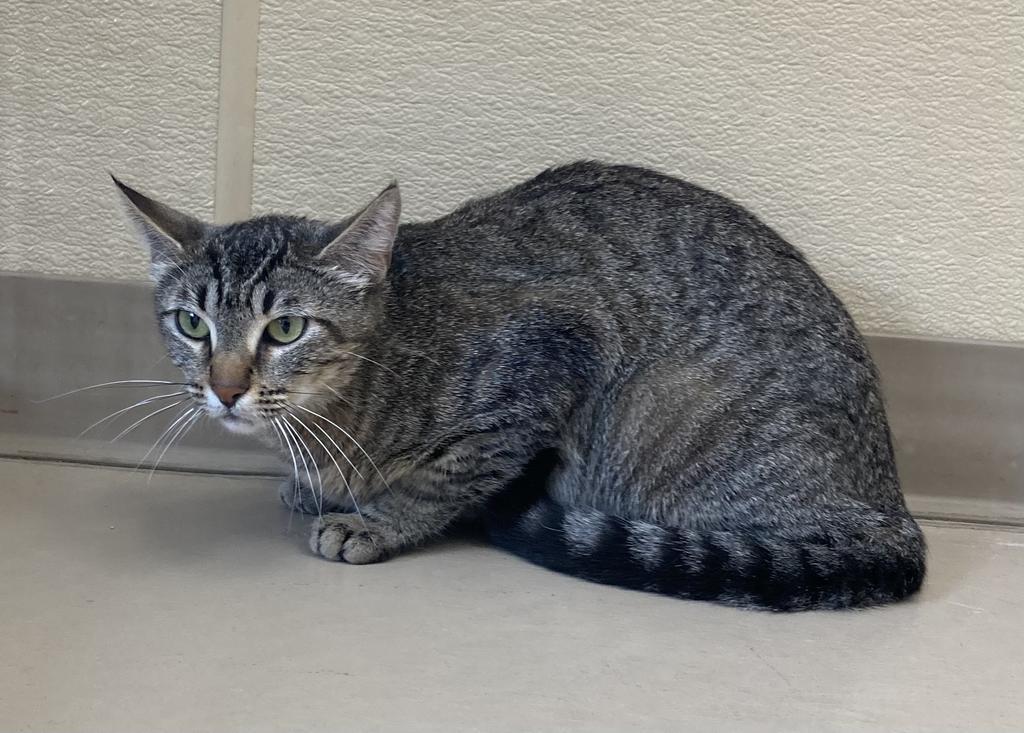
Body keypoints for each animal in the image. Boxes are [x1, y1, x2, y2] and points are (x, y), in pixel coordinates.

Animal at [116, 162, 925, 610]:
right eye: (191, 323)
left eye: (285, 329)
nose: (224, 389)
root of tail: (891, 509)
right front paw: (315, 484)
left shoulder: (553, 357)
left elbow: (443, 478)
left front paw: (376, 518)